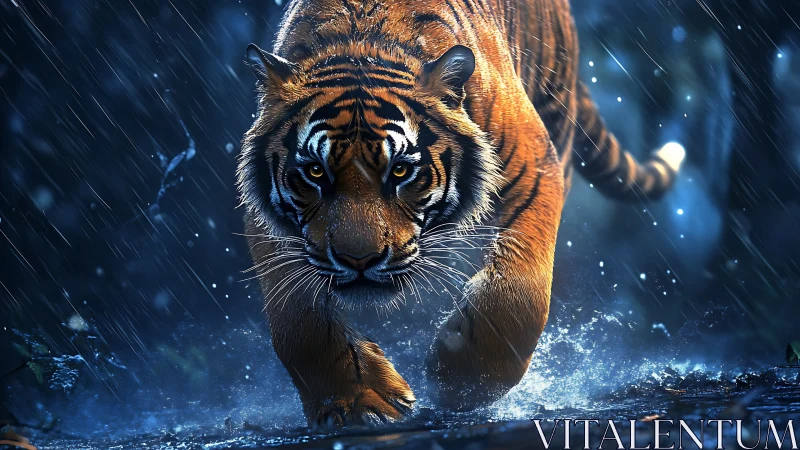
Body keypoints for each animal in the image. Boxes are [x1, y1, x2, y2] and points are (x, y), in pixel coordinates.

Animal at [237, 0, 685, 427]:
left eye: (399, 171)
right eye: (315, 171)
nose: (358, 260)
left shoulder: (537, 166)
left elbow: (521, 295)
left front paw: (460, 379)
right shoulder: (266, 219)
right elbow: (295, 322)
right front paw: (357, 402)